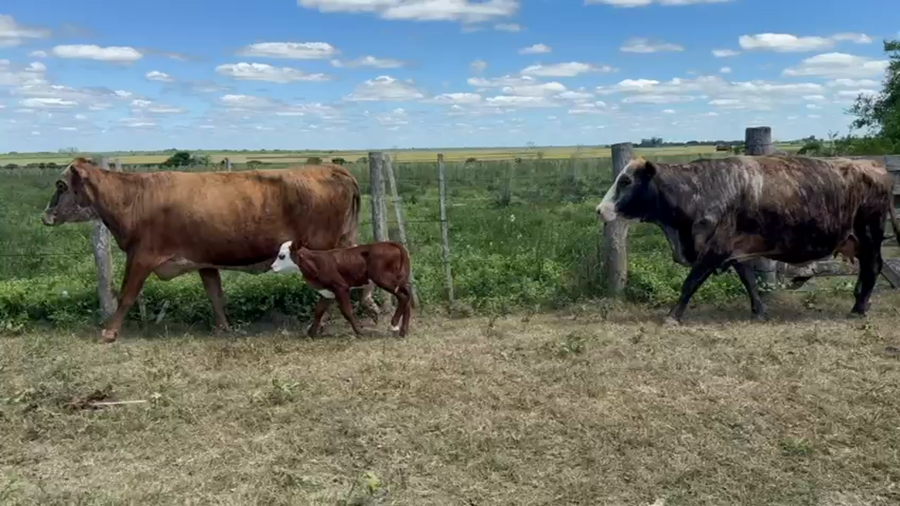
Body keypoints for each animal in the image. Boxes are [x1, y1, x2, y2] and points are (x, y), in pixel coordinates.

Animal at [41, 157, 380, 343]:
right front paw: (223, 328)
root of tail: (334, 170)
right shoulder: (204, 259)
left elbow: (126, 295)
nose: (46, 216)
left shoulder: (141, 256)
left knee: (329, 290)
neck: (134, 197)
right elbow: (215, 294)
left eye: (60, 185)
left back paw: (316, 326)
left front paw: (110, 332)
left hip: (320, 247)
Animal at [270, 240, 413, 337]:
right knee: (407, 295)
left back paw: (393, 325)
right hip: (396, 280)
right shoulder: (328, 293)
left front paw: (360, 332)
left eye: (281, 256)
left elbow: (347, 312)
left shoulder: (340, 287)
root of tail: (388, 243)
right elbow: (318, 311)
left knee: (403, 296)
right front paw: (311, 333)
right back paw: (403, 331)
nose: (272, 267)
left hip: (383, 279)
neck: (317, 262)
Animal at [595, 155, 900, 324]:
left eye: (626, 181)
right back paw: (860, 302)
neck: (699, 190)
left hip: (869, 236)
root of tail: (874, 165)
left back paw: (859, 307)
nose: (600, 209)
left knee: (873, 269)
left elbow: (690, 283)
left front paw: (672, 316)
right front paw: (759, 310)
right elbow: (750, 281)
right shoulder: (734, 250)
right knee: (867, 271)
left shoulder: (714, 249)